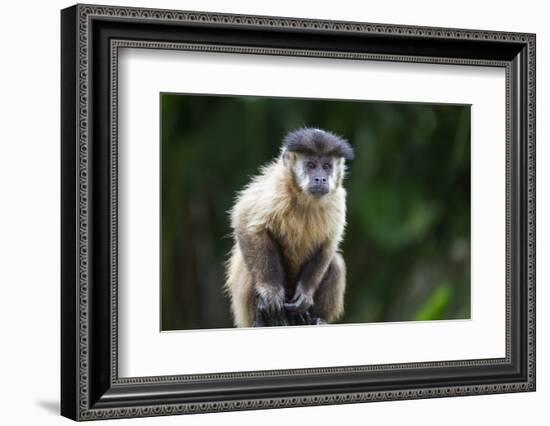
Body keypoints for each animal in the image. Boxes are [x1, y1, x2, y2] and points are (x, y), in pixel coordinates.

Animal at [226, 126, 356, 326]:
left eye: (326, 167)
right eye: (311, 165)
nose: (320, 178)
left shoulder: (338, 199)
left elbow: (329, 244)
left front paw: (305, 294)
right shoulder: (276, 187)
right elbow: (245, 222)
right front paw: (271, 292)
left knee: (335, 263)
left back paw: (314, 318)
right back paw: (264, 318)